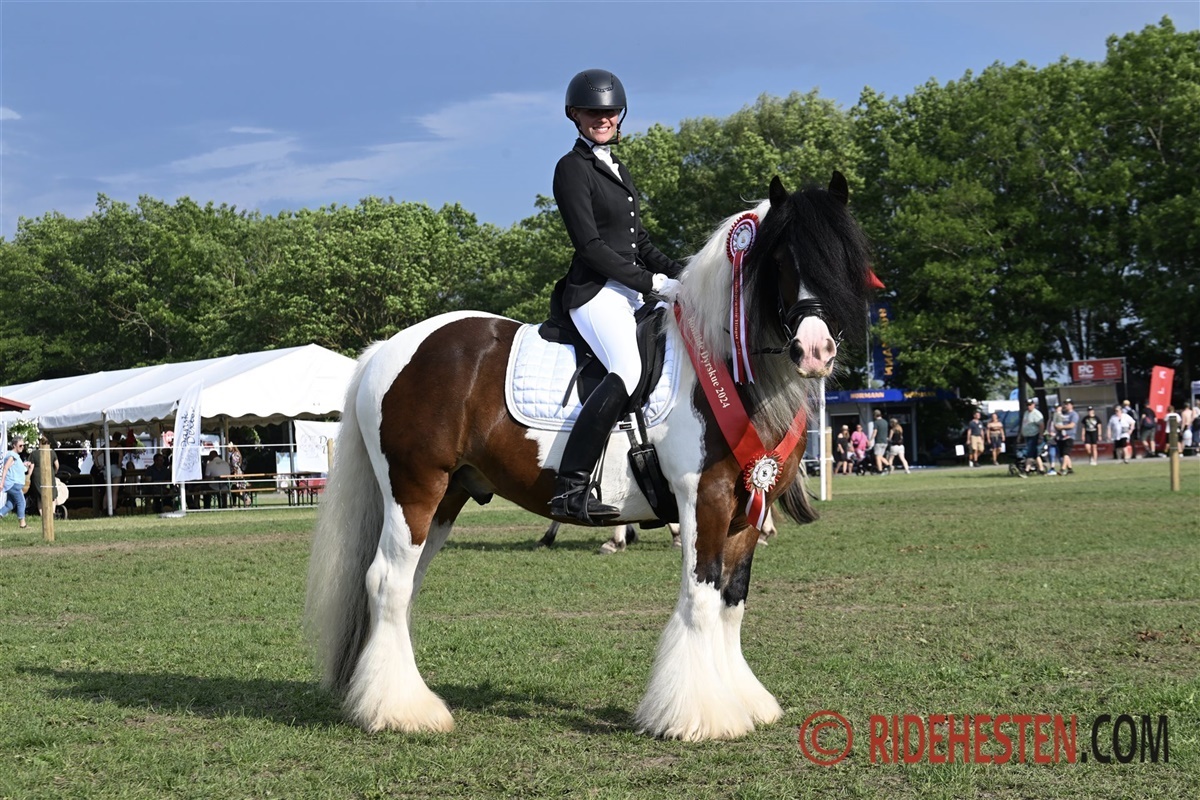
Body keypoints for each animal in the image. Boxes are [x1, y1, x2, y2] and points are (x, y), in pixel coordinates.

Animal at [305, 172, 875, 740]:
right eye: (780, 260)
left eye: (842, 259)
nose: (815, 352)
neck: (723, 364)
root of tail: (388, 349)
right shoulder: (705, 499)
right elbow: (701, 596)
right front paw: (698, 715)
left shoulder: (747, 509)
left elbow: (732, 601)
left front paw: (745, 702)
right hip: (415, 489)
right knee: (387, 582)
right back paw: (402, 711)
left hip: (448, 496)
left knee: (405, 586)